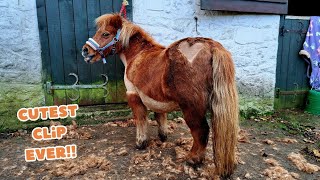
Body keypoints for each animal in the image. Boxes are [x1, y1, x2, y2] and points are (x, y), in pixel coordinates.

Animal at [81, 14, 239, 177]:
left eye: (105, 34)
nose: (85, 50)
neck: (137, 55)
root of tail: (212, 46)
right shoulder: (156, 98)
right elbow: (160, 116)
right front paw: (163, 137)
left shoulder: (133, 95)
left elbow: (140, 119)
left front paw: (141, 142)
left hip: (191, 109)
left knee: (201, 131)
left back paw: (193, 159)